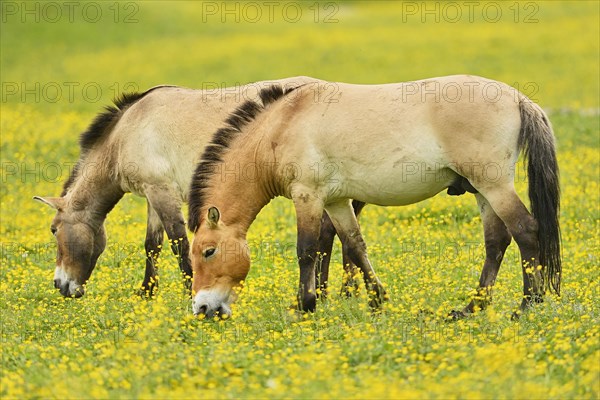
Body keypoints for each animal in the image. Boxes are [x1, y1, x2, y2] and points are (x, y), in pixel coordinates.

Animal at [34, 76, 360, 298]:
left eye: (53, 230)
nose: (60, 285)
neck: (126, 133)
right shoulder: (153, 195)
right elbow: (152, 245)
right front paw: (147, 293)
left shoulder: (161, 193)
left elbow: (178, 244)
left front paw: (188, 291)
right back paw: (336, 291)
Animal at [189, 74, 564, 318]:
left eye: (209, 251)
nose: (202, 308)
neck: (281, 126)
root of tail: (518, 98)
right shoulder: (337, 201)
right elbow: (355, 245)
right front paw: (376, 299)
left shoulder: (308, 196)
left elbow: (307, 250)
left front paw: (305, 305)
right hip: (483, 192)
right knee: (496, 242)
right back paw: (471, 307)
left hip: (494, 186)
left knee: (526, 231)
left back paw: (528, 304)